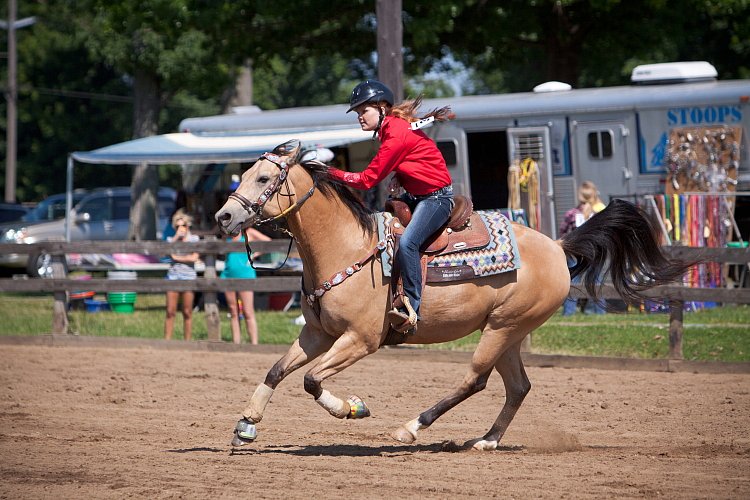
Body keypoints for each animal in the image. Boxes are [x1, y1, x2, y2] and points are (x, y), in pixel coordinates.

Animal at [214, 140, 692, 450]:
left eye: (263, 177)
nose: (223, 216)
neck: (346, 246)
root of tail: (558, 247)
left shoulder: (361, 340)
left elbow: (312, 380)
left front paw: (353, 408)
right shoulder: (318, 335)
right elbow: (278, 370)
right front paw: (246, 425)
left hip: (501, 329)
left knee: (475, 380)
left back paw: (411, 428)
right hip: (510, 332)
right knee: (518, 386)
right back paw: (487, 441)